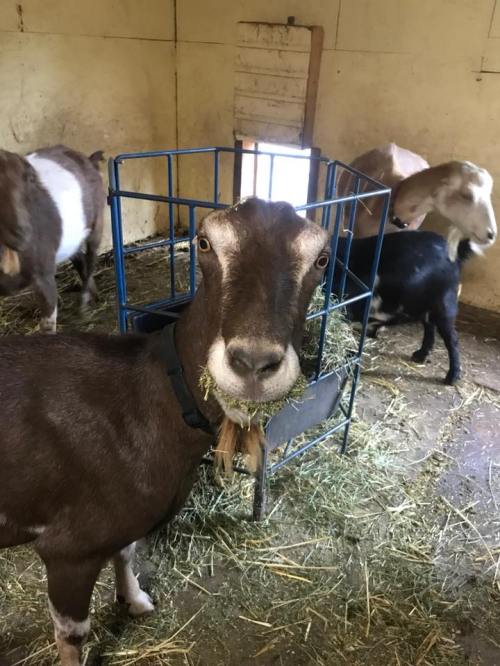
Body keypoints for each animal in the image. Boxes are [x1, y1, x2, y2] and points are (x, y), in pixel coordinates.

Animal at [0, 144, 105, 332]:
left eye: (28, 180)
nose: (22, 233)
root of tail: (89, 159)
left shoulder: (44, 275)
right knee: (79, 257)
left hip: (97, 223)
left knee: (91, 257)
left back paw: (84, 303)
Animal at [0, 198, 329, 665]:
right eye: (204, 242)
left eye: (322, 258)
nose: (253, 363)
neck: (146, 396)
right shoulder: (68, 550)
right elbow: (71, 633)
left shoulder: (120, 521)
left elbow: (126, 551)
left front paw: (135, 600)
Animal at [333, 230, 482, 385]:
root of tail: (454, 252)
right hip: (426, 308)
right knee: (430, 328)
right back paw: (419, 356)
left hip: (445, 305)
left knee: (452, 338)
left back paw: (452, 377)